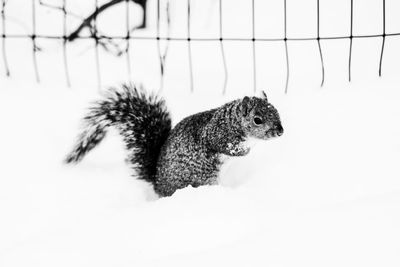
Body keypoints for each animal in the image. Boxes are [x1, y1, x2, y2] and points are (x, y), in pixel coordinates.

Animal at [65, 85, 282, 198]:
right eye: (257, 119)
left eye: (276, 110)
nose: (280, 131)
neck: (232, 121)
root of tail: (158, 185)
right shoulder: (218, 136)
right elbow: (229, 148)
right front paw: (244, 152)